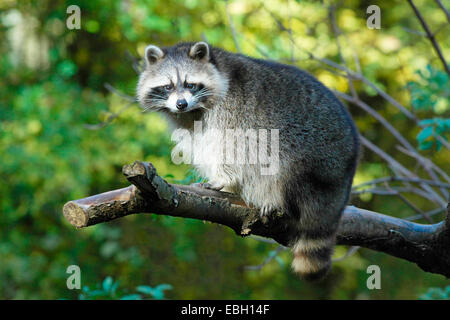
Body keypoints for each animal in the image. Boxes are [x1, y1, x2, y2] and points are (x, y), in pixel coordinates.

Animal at [135, 42, 360, 280]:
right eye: (167, 87)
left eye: (190, 84)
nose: (181, 103)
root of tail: (347, 173)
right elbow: (204, 147)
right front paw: (227, 187)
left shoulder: (233, 110)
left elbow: (234, 148)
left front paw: (222, 179)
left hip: (317, 157)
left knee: (284, 164)